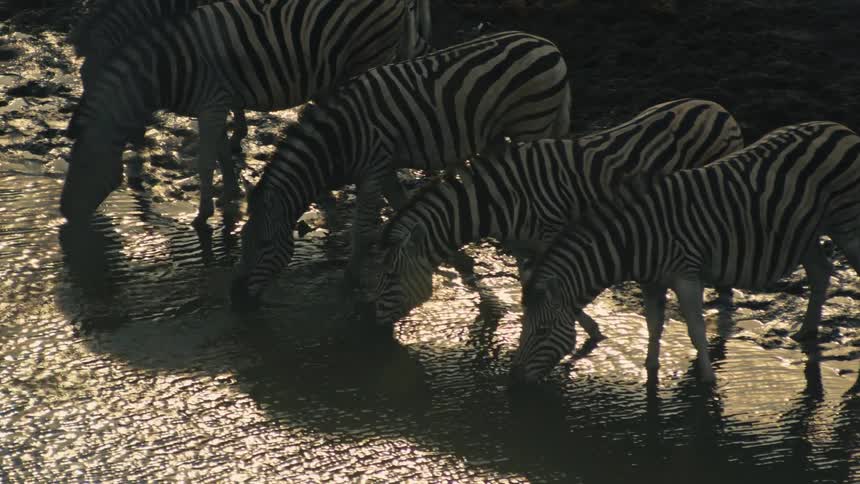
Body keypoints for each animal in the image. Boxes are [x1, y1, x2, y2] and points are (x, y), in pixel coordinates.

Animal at [60, 0, 430, 227]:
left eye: (83, 166)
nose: (63, 213)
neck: (173, 66)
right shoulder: (215, 101)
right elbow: (221, 150)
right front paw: (229, 192)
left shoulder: (212, 101)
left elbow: (206, 160)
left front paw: (203, 214)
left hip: (368, 54)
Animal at [230, 31, 573, 310]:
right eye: (243, 241)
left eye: (262, 245)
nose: (237, 300)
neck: (341, 139)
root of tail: (548, 44)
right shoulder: (385, 167)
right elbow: (399, 205)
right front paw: (457, 258)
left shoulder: (374, 167)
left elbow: (361, 228)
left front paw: (349, 282)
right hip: (498, 135)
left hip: (531, 124)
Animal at [358, 98, 744, 335]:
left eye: (389, 275)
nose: (374, 328)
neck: (501, 201)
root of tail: (716, 107)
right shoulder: (523, 246)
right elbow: (530, 282)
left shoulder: (549, 238)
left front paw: (590, 331)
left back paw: (722, 304)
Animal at [511, 121, 860, 385]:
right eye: (524, 328)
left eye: (541, 331)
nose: (514, 383)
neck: (632, 241)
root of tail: (838, 127)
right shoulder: (651, 281)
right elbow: (654, 324)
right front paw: (651, 369)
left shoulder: (686, 275)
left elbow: (695, 328)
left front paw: (707, 379)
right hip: (804, 232)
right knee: (820, 271)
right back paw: (807, 330)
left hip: (845, 224)